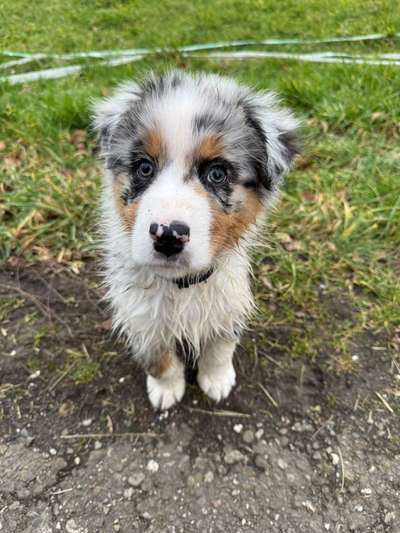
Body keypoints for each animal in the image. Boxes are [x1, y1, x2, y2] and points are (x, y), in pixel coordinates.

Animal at [92, 70, 298, 410]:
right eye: (144, 167)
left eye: (217, 173)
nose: (168, 235)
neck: (183, 286)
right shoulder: (141, 318)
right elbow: (159, 360)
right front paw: (166, 390)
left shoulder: (230, 299)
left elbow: (221, 346)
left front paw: (217, 380)